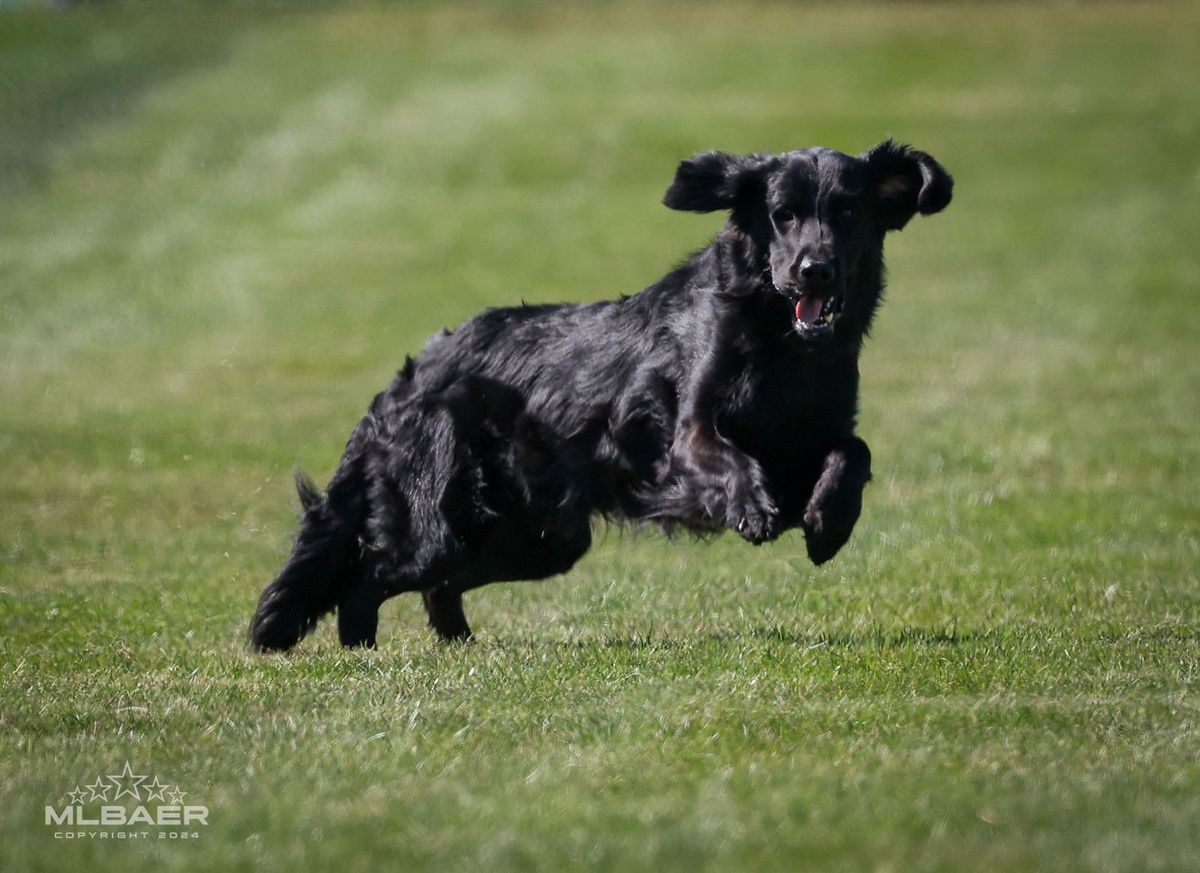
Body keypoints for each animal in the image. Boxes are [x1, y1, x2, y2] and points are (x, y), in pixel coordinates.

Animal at [248, 141, 950, 647]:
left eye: (848, 213)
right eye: (783, 215)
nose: (814, 271)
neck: (782, 343)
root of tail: (407, 377)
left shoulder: (811, 437)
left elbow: (852, 450)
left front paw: (830, 522)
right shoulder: (688, 434)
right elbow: (726, 456)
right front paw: (754, 508)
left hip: (538, 536)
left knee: (435, 586)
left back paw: (460, 649)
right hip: (448, 521)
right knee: (368, 580)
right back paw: (364, 655)